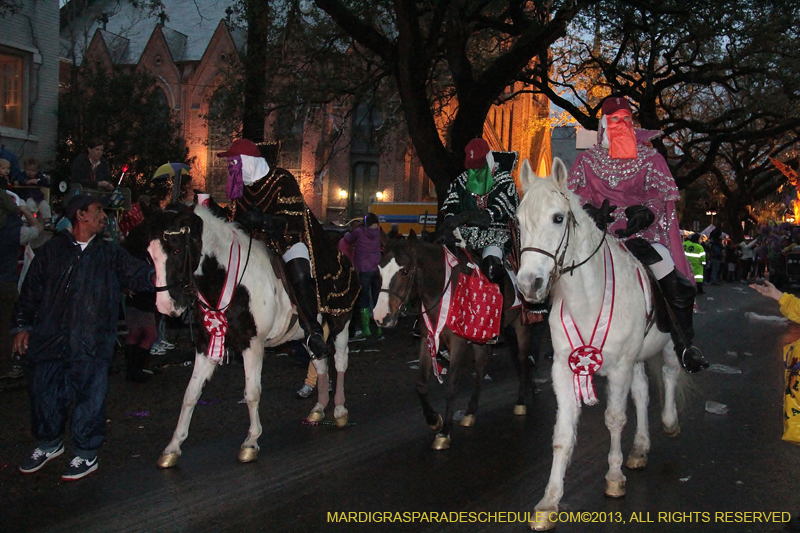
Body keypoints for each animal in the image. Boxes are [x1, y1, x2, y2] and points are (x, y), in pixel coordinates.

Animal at [148, 204, 352, 466]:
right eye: (150, 254)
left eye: (176, 250)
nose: (165, 306)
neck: (232, 282)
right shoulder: (206, 345)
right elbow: (191, 393)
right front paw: (173, 447)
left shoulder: (253, 344)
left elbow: (252, 392)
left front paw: (251, 442)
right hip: (309, 336)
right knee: (320, 362)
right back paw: (318, 409)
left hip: (341, 322)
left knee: (340, 361)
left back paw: (339, 410)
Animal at [372, 232, 548, 448]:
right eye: (379, 270)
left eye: (404, 271)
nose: (381, 317)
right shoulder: (427, 340)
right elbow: (420, 383)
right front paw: (434, 421)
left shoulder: (458, 343)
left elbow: (451, 386)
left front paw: (445, 432)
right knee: (481, 368)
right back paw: (470, 413)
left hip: (522, 325)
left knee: (522, 361)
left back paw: (521, 402)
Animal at [516, 157, 684, 528]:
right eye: (518, 221)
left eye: (558, 217)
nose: (529, 284)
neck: (588, 299)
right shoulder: (565, 369)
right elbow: (563, 433)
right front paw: (549, 501)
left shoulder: (619, 367)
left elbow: (614, 418)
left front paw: (614, 477)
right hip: (636, 358)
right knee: (642, 392)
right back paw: (639, 448)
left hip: (666, 347)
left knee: (669, 375)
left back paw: (669, 423)